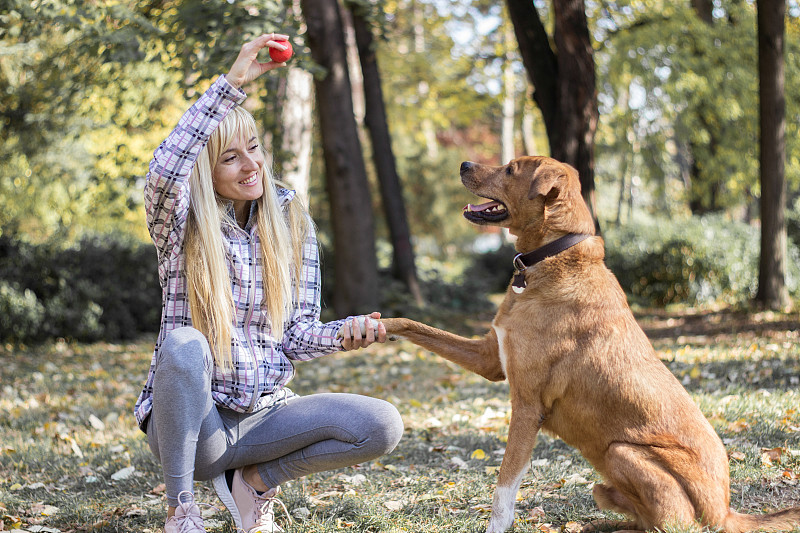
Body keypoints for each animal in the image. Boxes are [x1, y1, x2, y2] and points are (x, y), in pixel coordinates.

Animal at [382, 156, 800, 532]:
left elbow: (504, 488)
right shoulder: (489, 359)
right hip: (602, 486)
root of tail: (726, 511)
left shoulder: (527, 406)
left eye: (511, 168)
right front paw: (376, 327)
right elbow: (415, 326)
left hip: (623, 452)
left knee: (678, 524)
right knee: (640, 521)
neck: (550, 258)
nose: (464, 164)